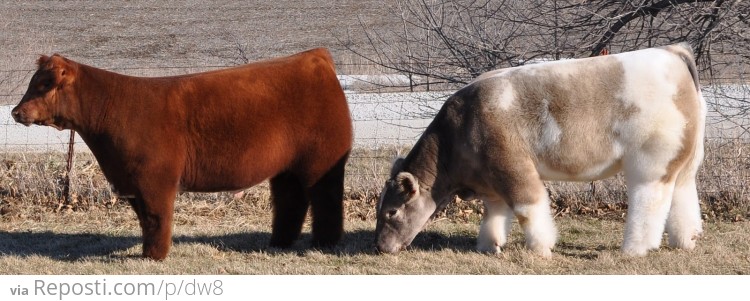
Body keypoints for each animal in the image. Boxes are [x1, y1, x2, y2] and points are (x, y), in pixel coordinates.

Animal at [11, 48, 352, 258]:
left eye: (44, 84)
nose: (16, 111)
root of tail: (316, 58)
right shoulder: (133, 183)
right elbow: (145, 219)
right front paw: (150, 252)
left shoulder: (155, 179)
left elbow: (157, 217)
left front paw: (155, 257)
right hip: (286, 169)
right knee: (291, 201)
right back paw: (280, 243)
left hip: (323, 161)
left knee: (326, 200)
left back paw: (324, 243)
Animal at [378, 43, 708, 256]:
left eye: (392, 211)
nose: (380, 247)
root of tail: (671, 51)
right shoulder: (490, 180)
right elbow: (494, 213)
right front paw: (488, 245)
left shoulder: (513, 168)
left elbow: (529, 208)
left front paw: (540, 248)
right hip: (685, 161)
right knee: (683, 195)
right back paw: (687, 241)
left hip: (650, 162)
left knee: (649, 202)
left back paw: (633, 250)